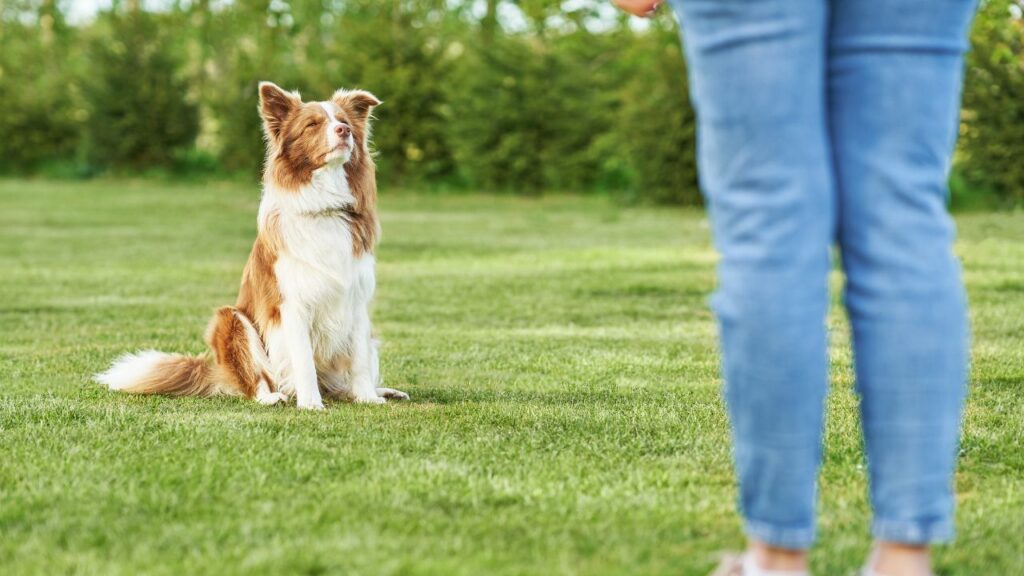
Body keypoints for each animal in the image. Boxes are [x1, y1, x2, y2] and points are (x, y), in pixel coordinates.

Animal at [95, 81, 407, 407]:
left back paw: (381, 391)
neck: (324, 207)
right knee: (255, 383)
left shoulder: (356, 299)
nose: (344, 131)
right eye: (312, 124)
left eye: (344, 121)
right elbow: (304, 360)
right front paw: (310, 404)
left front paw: (368, 398)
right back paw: (274, 397)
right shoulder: (291, 303)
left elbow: (358, 360)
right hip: (231, 320)